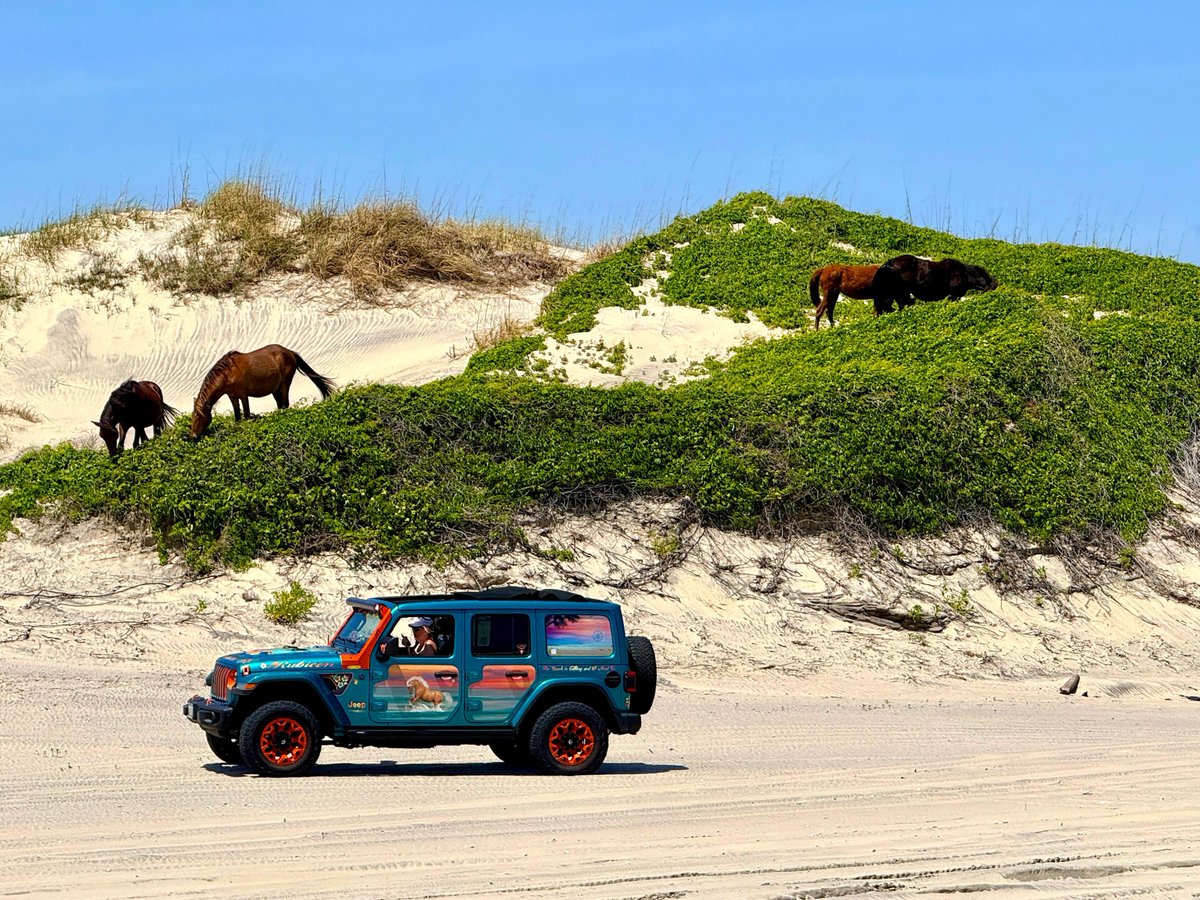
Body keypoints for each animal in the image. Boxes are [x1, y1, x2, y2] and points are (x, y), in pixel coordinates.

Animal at [190, 344, 335, 437]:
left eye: (198, 416)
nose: (193, 436)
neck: (228, 372)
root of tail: (290, 352)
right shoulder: (232, 396)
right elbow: (237, 416)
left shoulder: (243, 395)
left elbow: (246, 414)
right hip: (275, 389)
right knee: (280, 404)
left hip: (285, 383)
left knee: (285, 404)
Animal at [870, 255, 998, 316]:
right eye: (985, 275)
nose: (995, 284)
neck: (963, 273)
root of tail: (887, 264)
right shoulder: (954, 294)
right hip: (897, 292)